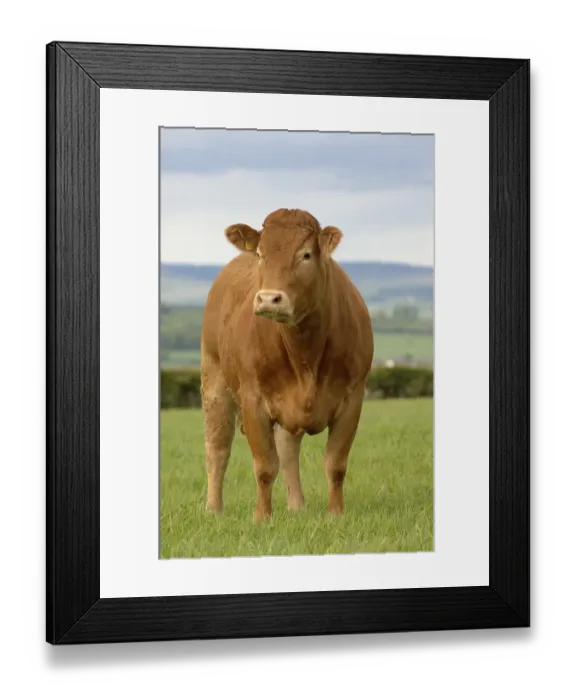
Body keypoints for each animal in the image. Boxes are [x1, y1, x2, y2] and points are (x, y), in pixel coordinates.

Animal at [200, 208, 374, 523]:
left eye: (305, 255)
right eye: (260, 253)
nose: (270, 298)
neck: (305, 352)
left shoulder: (353, 398)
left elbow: (336, 464)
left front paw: (335, 514)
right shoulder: (253, 399)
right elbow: (265, 465)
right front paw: (261, 518)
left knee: (288, 449)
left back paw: (297, 506)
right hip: (214, 379)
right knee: (217, 447)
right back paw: (214, 510)